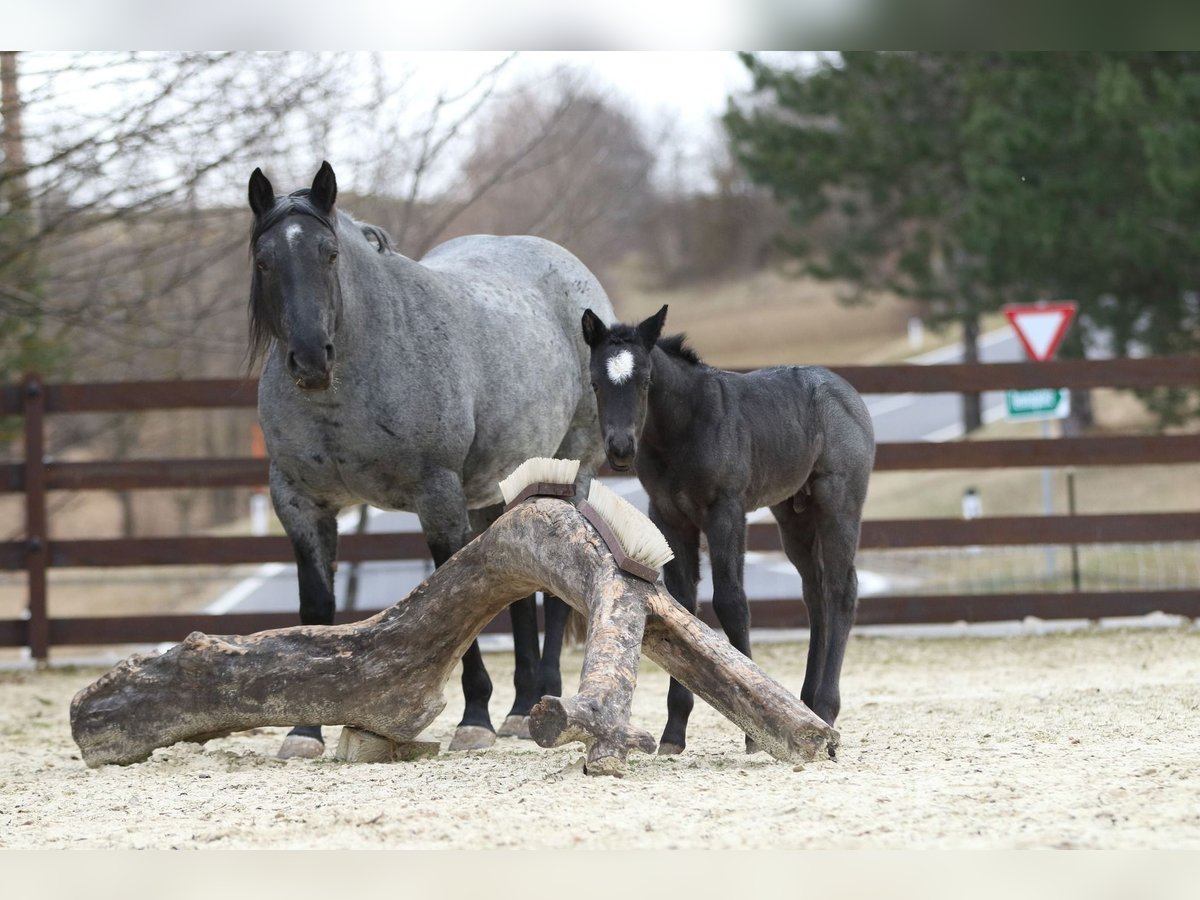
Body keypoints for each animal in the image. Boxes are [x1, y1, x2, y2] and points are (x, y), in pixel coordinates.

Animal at [249, 160, 614, 753]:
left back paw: (537, 701)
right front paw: (305, 731)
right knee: (515, 582)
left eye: (330, 254)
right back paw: (521, 710)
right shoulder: (300, 504)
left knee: (556, 587)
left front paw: (473, 720)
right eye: (265, 260)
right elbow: (316, 609)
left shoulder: (437, 495)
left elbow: (454, 600)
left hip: (574, 468)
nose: (309, 359)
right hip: (498, 492)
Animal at [580, 307, 873, 758]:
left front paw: (755, 731)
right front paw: (674, 730)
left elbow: (731, 601)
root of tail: (847, 393)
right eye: (595, 382)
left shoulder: (726, 511)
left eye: (645, 379)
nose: (621, 448)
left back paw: (825, 706)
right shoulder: (668, 517)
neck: (683, 428)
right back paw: (807, 705)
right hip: (793, 515)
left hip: (838, 505)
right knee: (815, 593)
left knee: (841, 591)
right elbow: (682, 605)